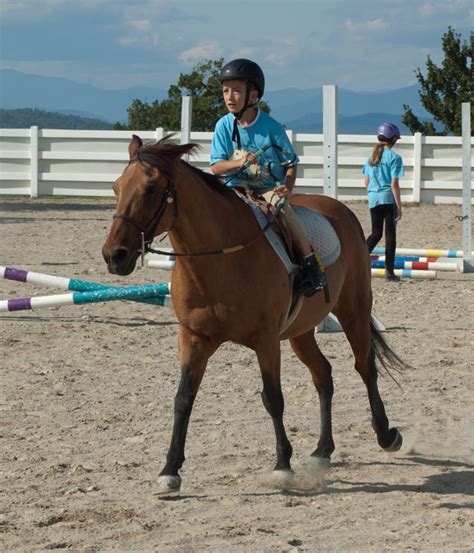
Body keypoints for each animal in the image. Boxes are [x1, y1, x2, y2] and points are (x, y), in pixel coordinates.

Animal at [103, 136, 404, 494]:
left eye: (150, 188)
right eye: (116, 187)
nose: (114, 255)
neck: (220, 260)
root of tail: (339, 210)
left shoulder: (266, 340)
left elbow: (273, 397)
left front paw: (282, 466)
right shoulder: (194, 338)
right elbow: (183, 399)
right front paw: (169, 471)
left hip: (353, 311)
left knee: (365, 367)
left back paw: (386, 434)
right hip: (301, 332)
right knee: (323, 375)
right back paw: (322, 450)